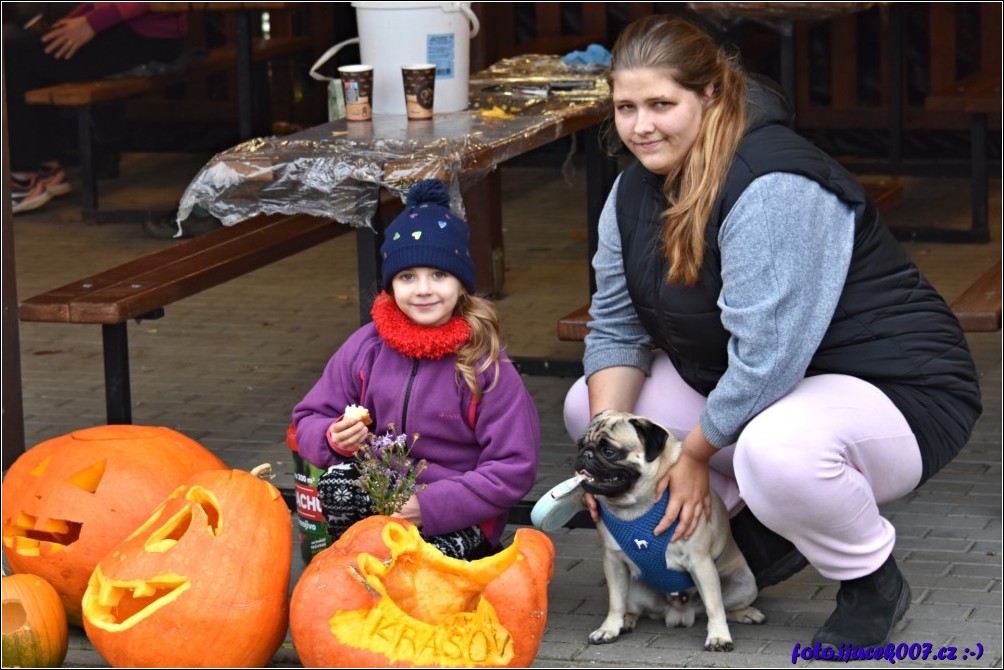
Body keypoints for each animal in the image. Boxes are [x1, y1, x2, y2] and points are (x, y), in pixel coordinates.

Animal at [578, 409, 763, 650]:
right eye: (580, 444)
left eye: (609, 451)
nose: (586, 454)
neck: (635, 507)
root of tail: (679, 613)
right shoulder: (613, 562)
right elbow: (615, 602)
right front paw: (609, 628)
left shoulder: (700, 563)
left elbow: (715, 606)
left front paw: (719, 636)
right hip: (634, 590)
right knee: (633, 608)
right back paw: (626, 620)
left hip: (745, 584)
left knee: (723, 607)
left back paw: (746, 613)